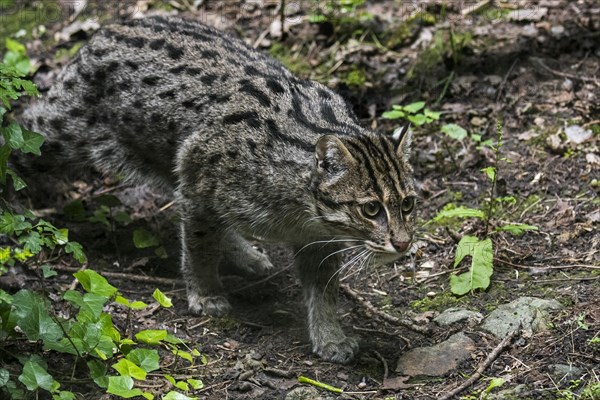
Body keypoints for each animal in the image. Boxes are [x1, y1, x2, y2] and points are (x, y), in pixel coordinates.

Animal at [23, 17, 418, 364]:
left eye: (409, 204)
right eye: (370, 209)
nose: (402, 244)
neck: (304, 211)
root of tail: (107, 29)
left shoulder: (316, 239)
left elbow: (323, 290)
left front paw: (329, 336)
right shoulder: (197, 176)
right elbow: (199, 245)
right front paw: (205, 293)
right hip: (62, 134)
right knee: (24, 129)